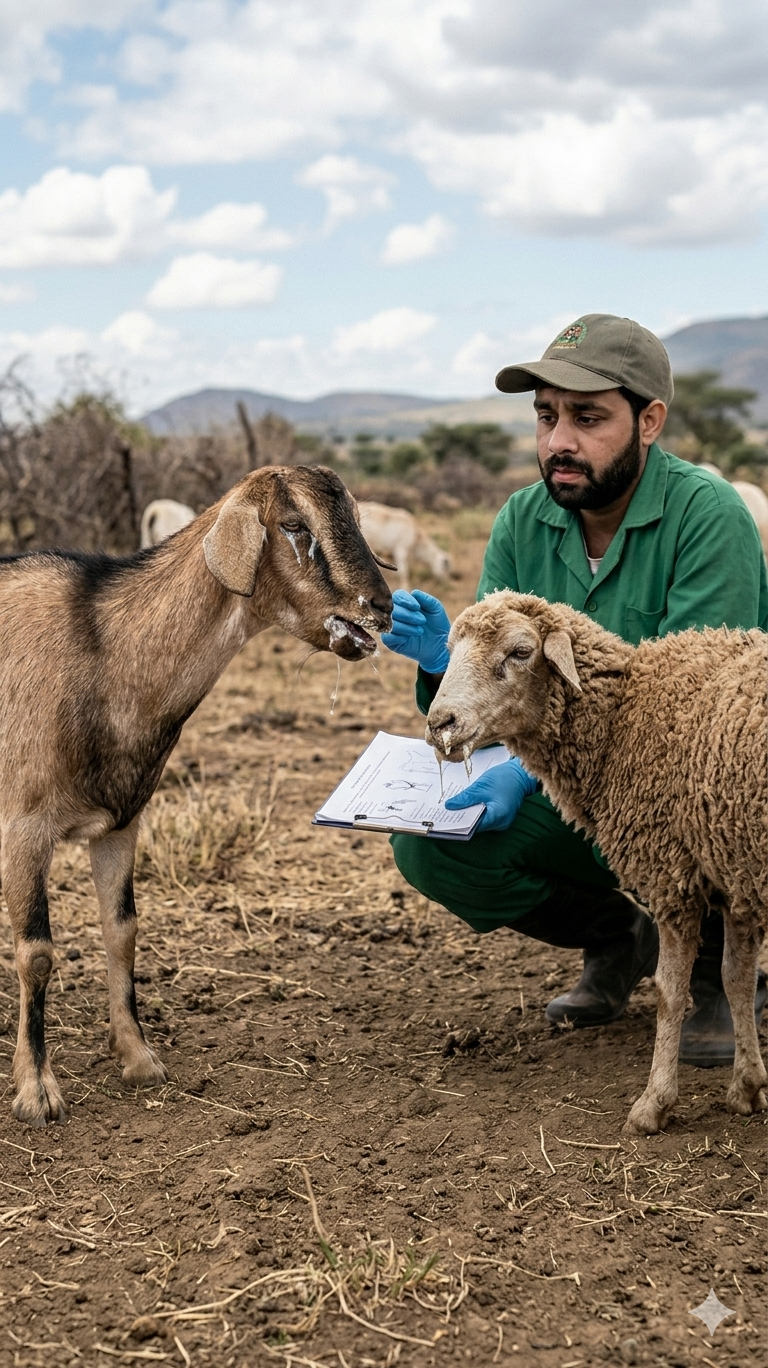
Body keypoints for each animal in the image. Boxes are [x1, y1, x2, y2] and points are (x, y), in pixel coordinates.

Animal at [0, 465, 392, 1128]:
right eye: (294, 525)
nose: (382, 607)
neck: (103, 650)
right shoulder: (23, 827)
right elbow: (36, 952)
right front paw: (37, 1091)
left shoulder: (121, 823)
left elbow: (122, 930)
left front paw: (138, 1058)